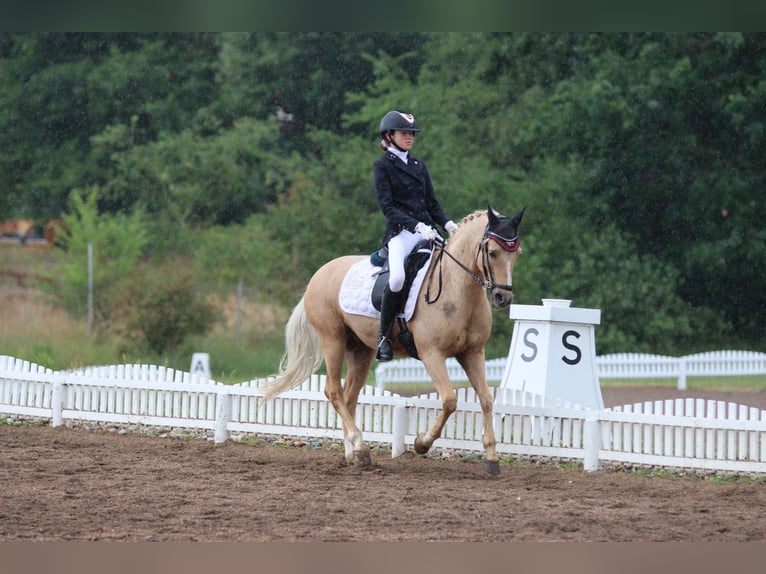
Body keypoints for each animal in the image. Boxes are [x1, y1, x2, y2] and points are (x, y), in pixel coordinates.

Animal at [260, 207, 524, 476]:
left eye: (517, 253)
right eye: (492, 252)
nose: (503, 297)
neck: (457, 289)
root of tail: (318, 274)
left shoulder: (473, 353)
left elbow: (486, 399)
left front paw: (491, 457)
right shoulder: (432, 354)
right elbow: (450, 400)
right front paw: (421, 442)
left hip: (361, 350)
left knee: (349, 396)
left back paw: (353, 454)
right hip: (332, 341)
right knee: (333, 391)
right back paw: (360, 446)